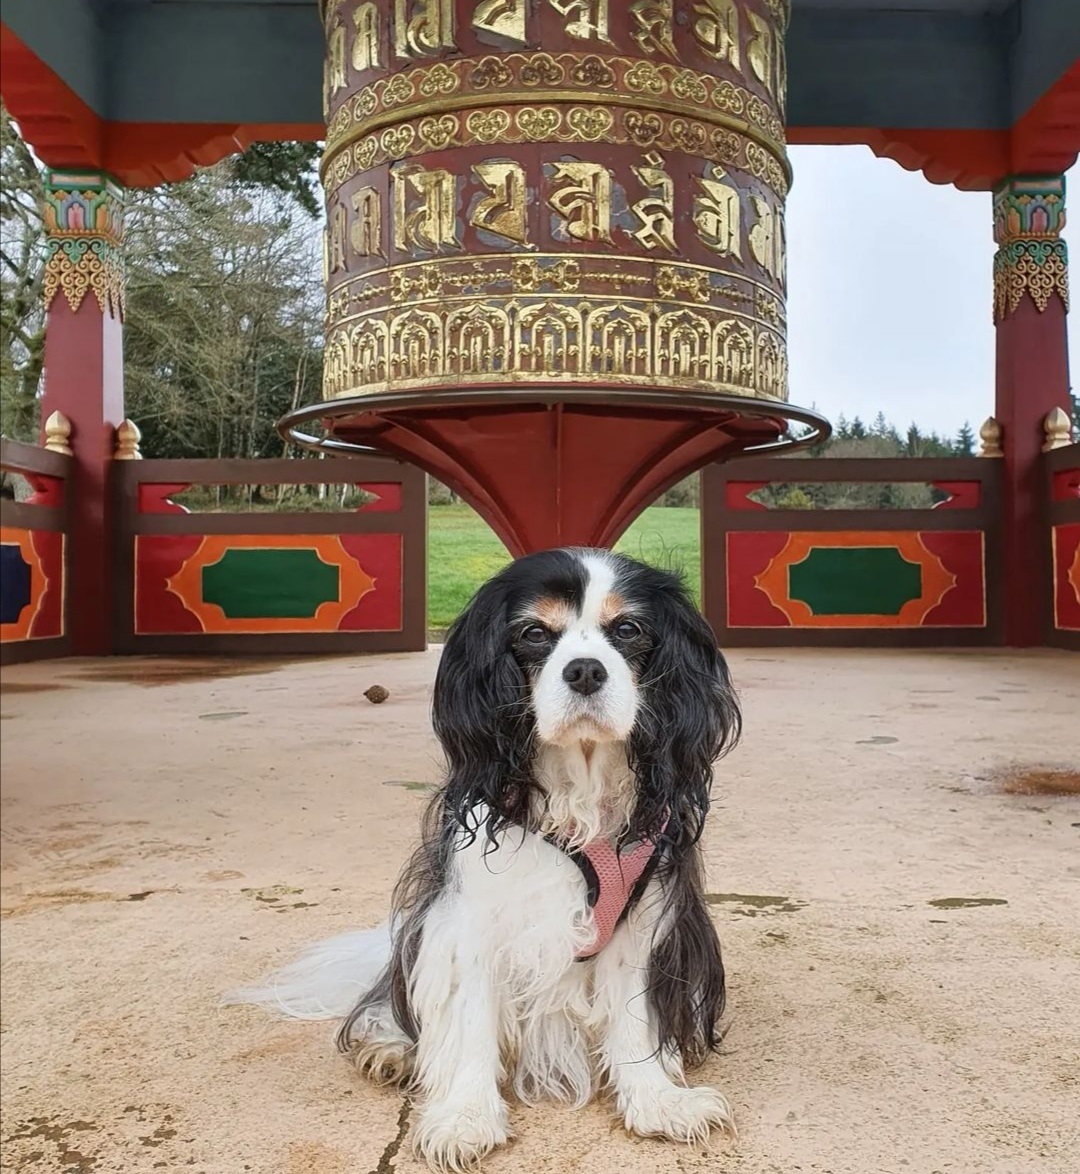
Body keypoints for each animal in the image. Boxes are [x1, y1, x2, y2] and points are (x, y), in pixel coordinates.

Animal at [230, 547, 741, 1164]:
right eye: (533, 633)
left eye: (628, 630)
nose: (585, 670)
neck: (578, 796)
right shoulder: (467, 921)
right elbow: (469, 1017)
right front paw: (465, 1117)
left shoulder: (645, 917)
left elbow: (635, 1015)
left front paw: (657, 1100)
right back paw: (394, 1048)